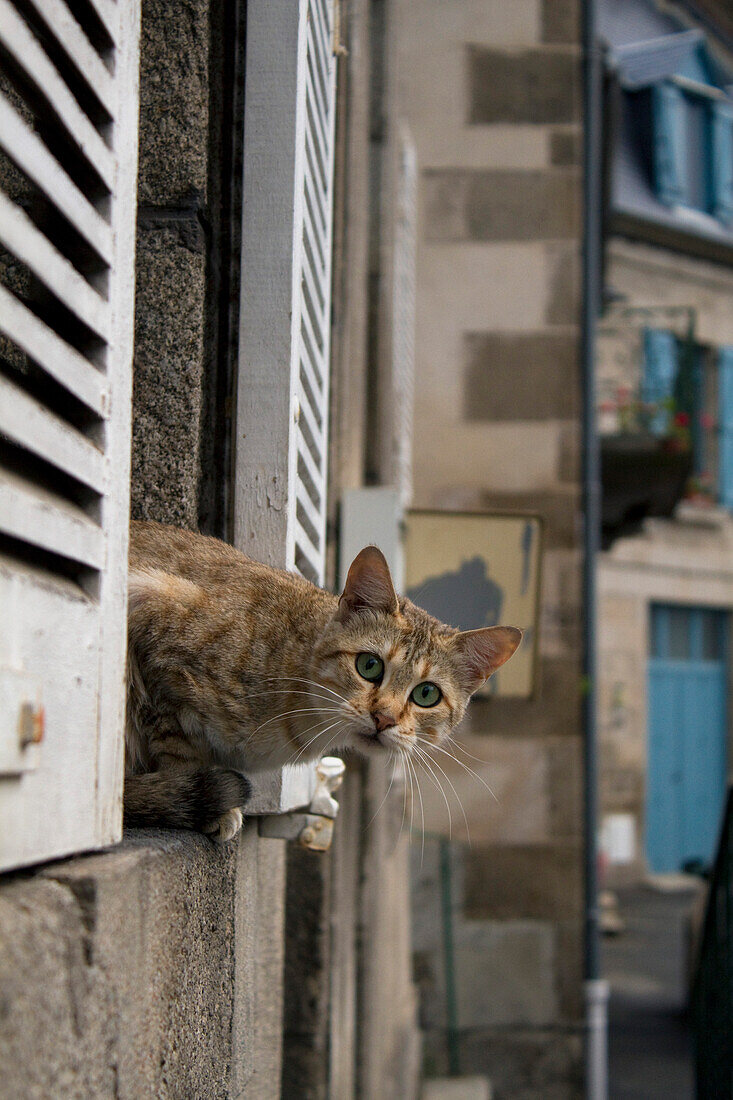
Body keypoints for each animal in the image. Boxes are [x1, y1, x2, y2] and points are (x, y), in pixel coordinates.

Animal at [124, 523, 519, 840]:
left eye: (426, 694)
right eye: (369, 665)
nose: (384, 718)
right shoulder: (152, 615)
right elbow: (176, 748)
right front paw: (201, 800)